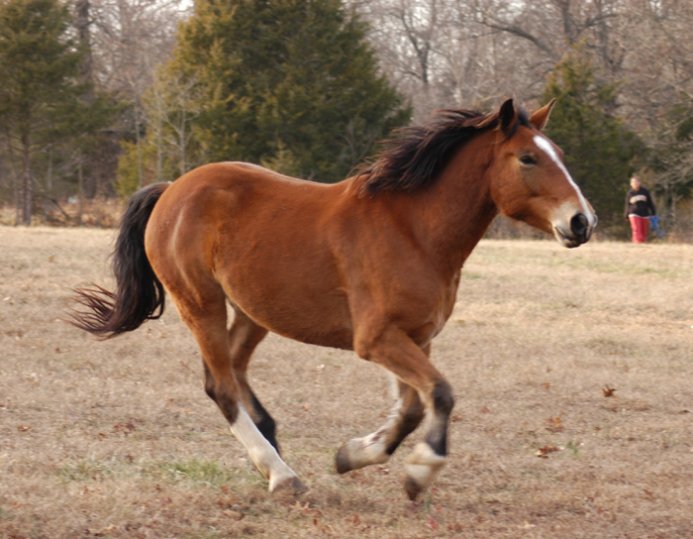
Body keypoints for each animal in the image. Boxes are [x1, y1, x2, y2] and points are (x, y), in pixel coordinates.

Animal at [73, 99, 596, 500]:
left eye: (559, 153)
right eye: (527, 158)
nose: (582, 221)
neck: (414, 231)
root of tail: (172, 190)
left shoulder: (416, 337)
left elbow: (411, 409)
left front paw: (353, 455)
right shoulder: (377, 339)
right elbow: (441, 395)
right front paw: (420, 470)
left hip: (252, 311)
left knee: (236, 372)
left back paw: (272, 447)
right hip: (200, 303)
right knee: (220, 387)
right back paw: (280, 474)